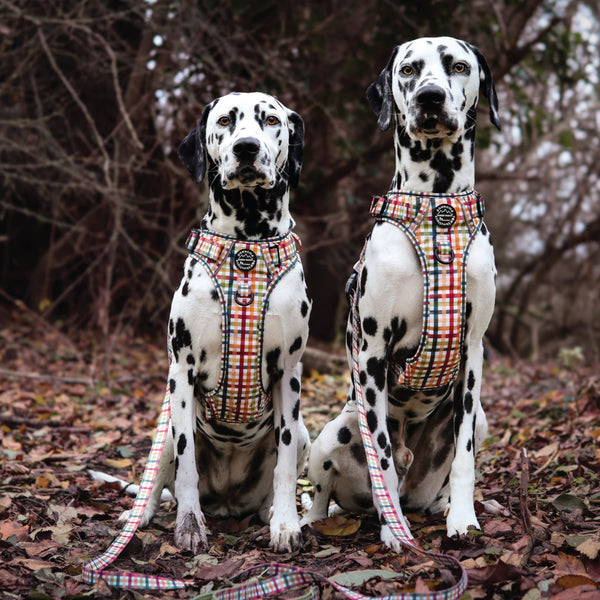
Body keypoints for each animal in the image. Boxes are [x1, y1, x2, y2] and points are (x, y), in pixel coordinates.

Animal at [119, 91, 312, 556]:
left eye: (271, 120)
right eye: (225, 120)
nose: (246, 148)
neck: (246, 249)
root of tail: (227, 500)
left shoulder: (288, 374)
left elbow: (284, 465)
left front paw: (285, 524)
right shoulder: (182, 372)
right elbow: (186, 465)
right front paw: (189, 524)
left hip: (305, 433)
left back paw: (269, 513)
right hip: (164, 427)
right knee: (158, 477)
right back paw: (140, 515)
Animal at [304, 35, 502, 548]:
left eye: (458, 66)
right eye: (409, 69)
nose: (430, 97)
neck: (437, 209)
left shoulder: (473, 350)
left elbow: (465, 457)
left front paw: (463, 519)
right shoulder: (373, 352)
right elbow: (383, 458)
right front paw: (394, 531)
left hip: (479, 419)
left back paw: (445, 506)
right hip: (334, 431)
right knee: (327, 491)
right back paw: (311, 521)